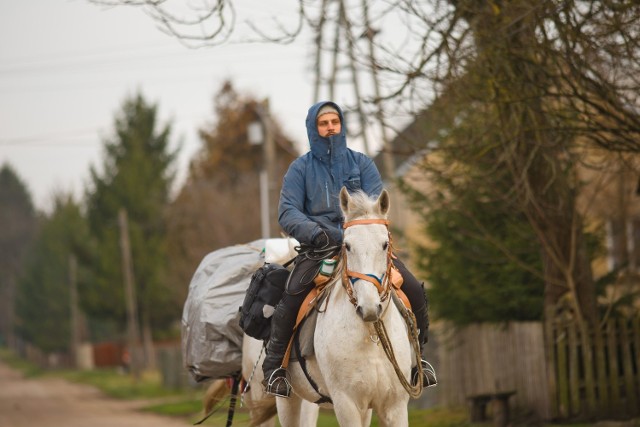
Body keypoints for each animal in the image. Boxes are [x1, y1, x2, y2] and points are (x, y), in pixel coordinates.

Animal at [250, 189, 420, 427]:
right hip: (286, 400)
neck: (370, 337)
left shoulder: (394, 406)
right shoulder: (347, 404)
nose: (369, 308)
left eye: (385, 244)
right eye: (347, 245)